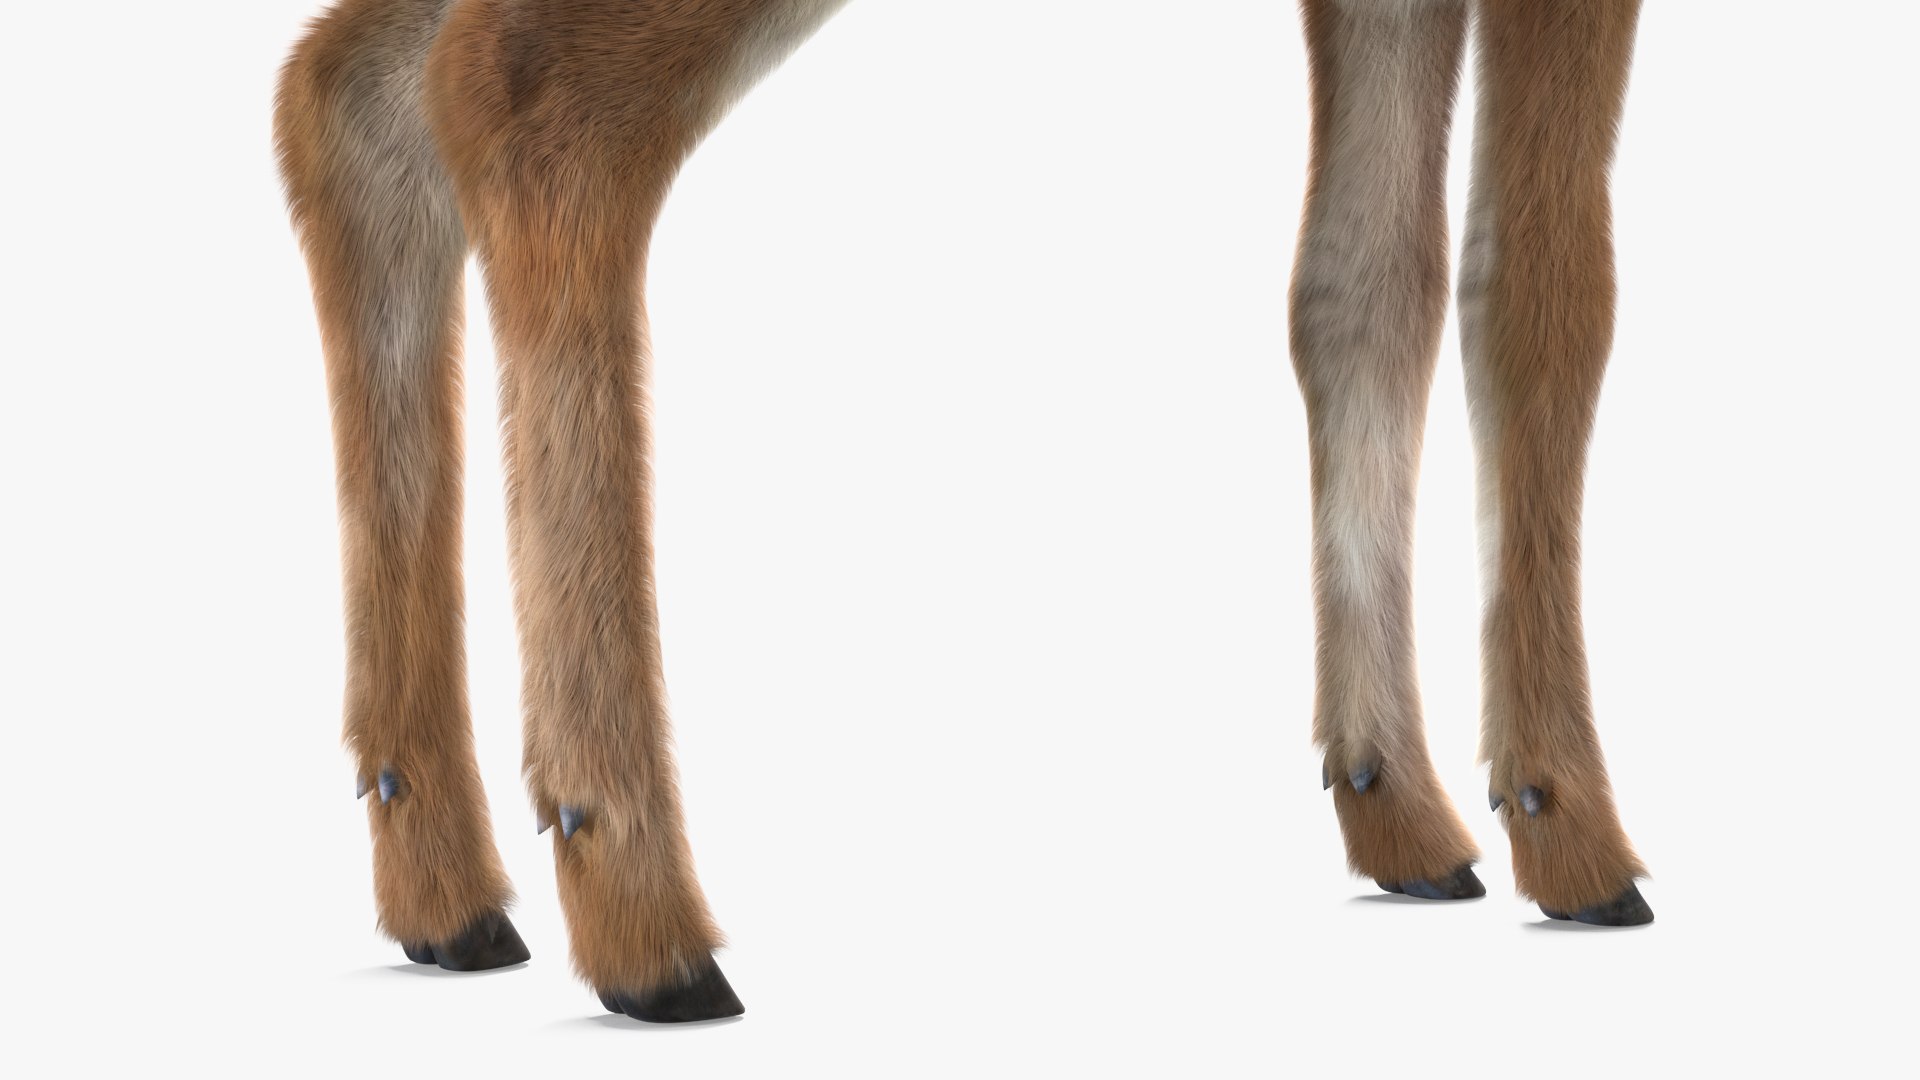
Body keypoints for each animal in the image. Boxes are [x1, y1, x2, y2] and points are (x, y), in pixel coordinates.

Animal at [274, 0, 1651, 1025]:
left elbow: (1365, 289)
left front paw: (1393, 794)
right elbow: (1545, 297)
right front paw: (1568, 819)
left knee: (343, 91)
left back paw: (444, 882)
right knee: (519, 92)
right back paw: (644, 914)